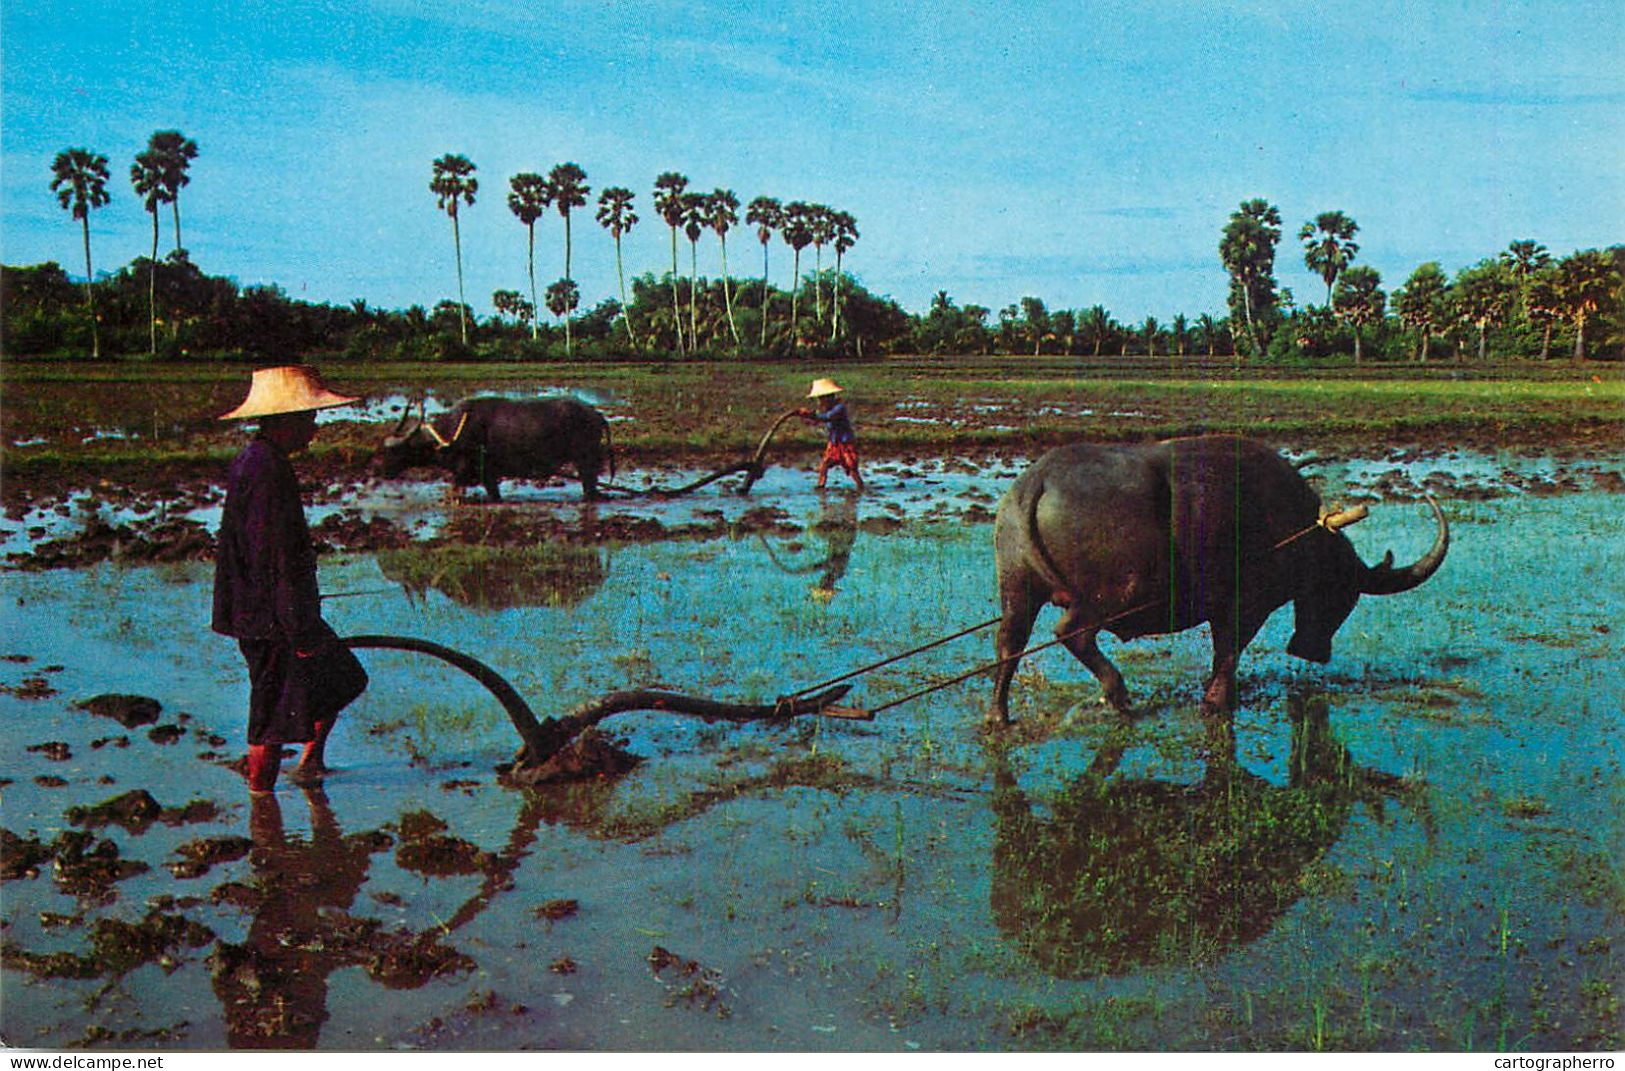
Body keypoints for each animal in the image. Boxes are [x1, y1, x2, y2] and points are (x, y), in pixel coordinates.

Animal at [373, 398, 614, 503]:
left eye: (392, 452)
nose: (379, 471)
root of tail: (595, 414)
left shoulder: (466, 474)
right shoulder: (486, 475)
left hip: (586, 460)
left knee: (590, 486)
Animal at [981, 435, 1456, 728]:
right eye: (1344, 593)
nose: (1313, 652)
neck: (1293, 528)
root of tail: (1038, 481)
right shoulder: (1244, 607)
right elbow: (1228, 652)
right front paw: (1217, 702)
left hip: (1017, 589)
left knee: (1010, 643)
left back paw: (998, 716)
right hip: (1115, 593)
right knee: (1071, 631)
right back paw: (1117, 694)